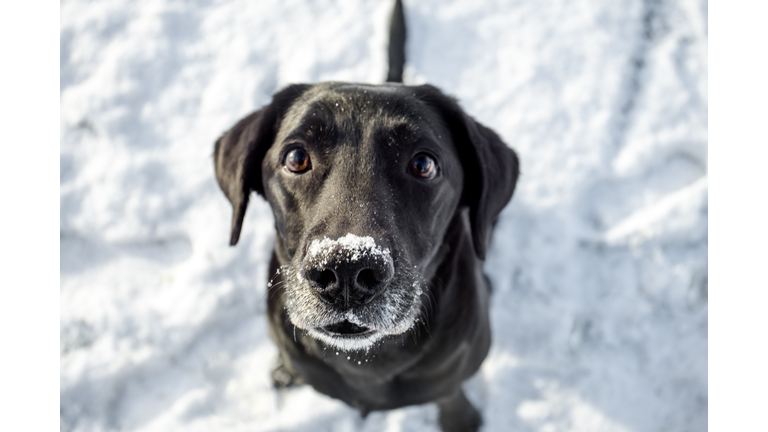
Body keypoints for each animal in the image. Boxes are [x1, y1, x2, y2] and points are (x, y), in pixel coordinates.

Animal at [213, 1, 520, 430]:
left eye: (423, 164)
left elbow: (450, 391)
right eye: (296, 157)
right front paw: (287, 370)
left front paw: (460, 416)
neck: (368, 362)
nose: (345, 270)